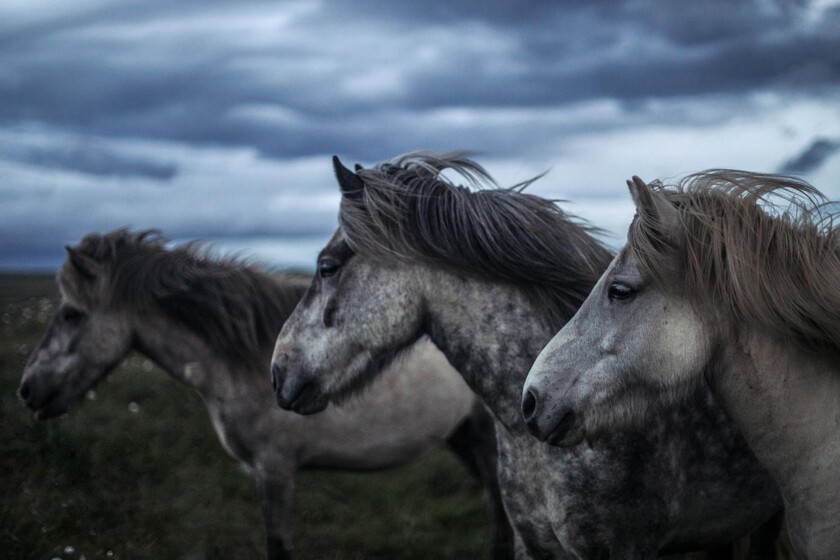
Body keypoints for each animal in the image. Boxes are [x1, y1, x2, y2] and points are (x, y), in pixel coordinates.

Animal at [17, 228, 514, 560]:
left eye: (72, 314)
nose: (26, 390)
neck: (243, 359)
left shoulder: (274, 471)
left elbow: (278, 547)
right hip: (463, 438)